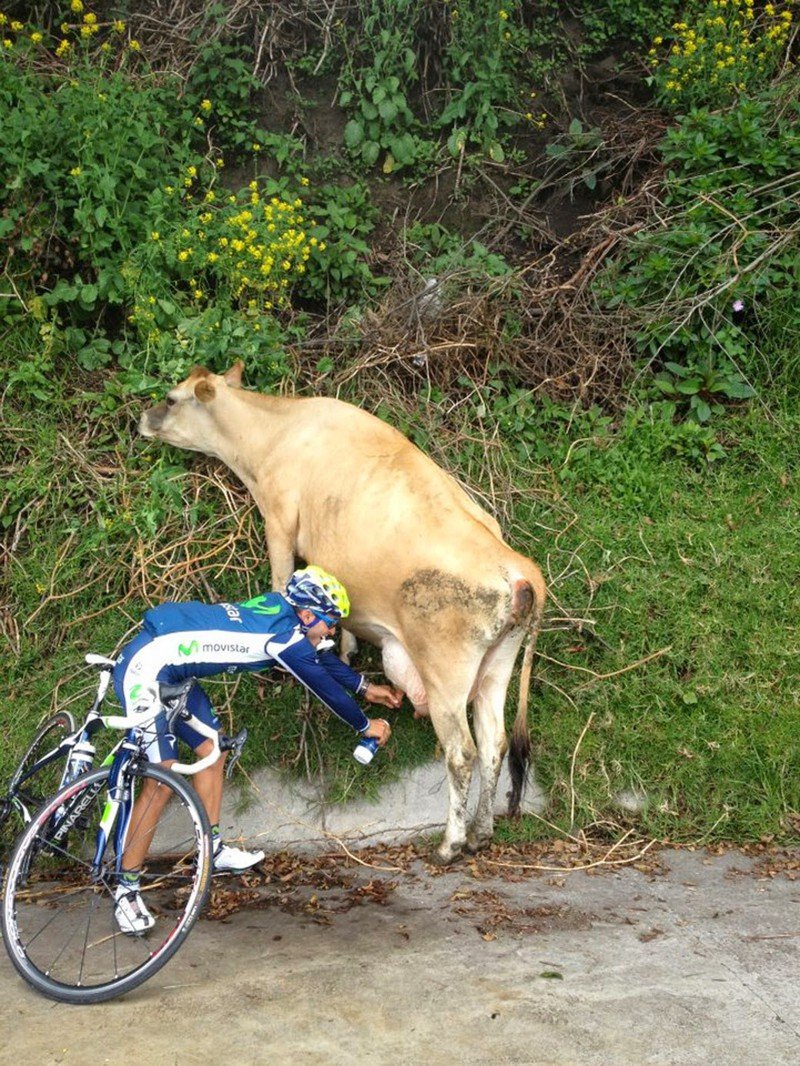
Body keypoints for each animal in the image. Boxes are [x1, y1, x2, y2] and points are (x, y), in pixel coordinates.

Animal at [140, 362, 550, 861]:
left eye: (171, 398)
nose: (142, 417)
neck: (277, 431)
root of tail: (519, 569)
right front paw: (346, 650)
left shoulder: (279, 519)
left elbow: (280, 579)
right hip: (496, 667)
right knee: (494, 744)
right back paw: (481, 833)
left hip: (446, 674)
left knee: (462, 752)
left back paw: (451, 842)